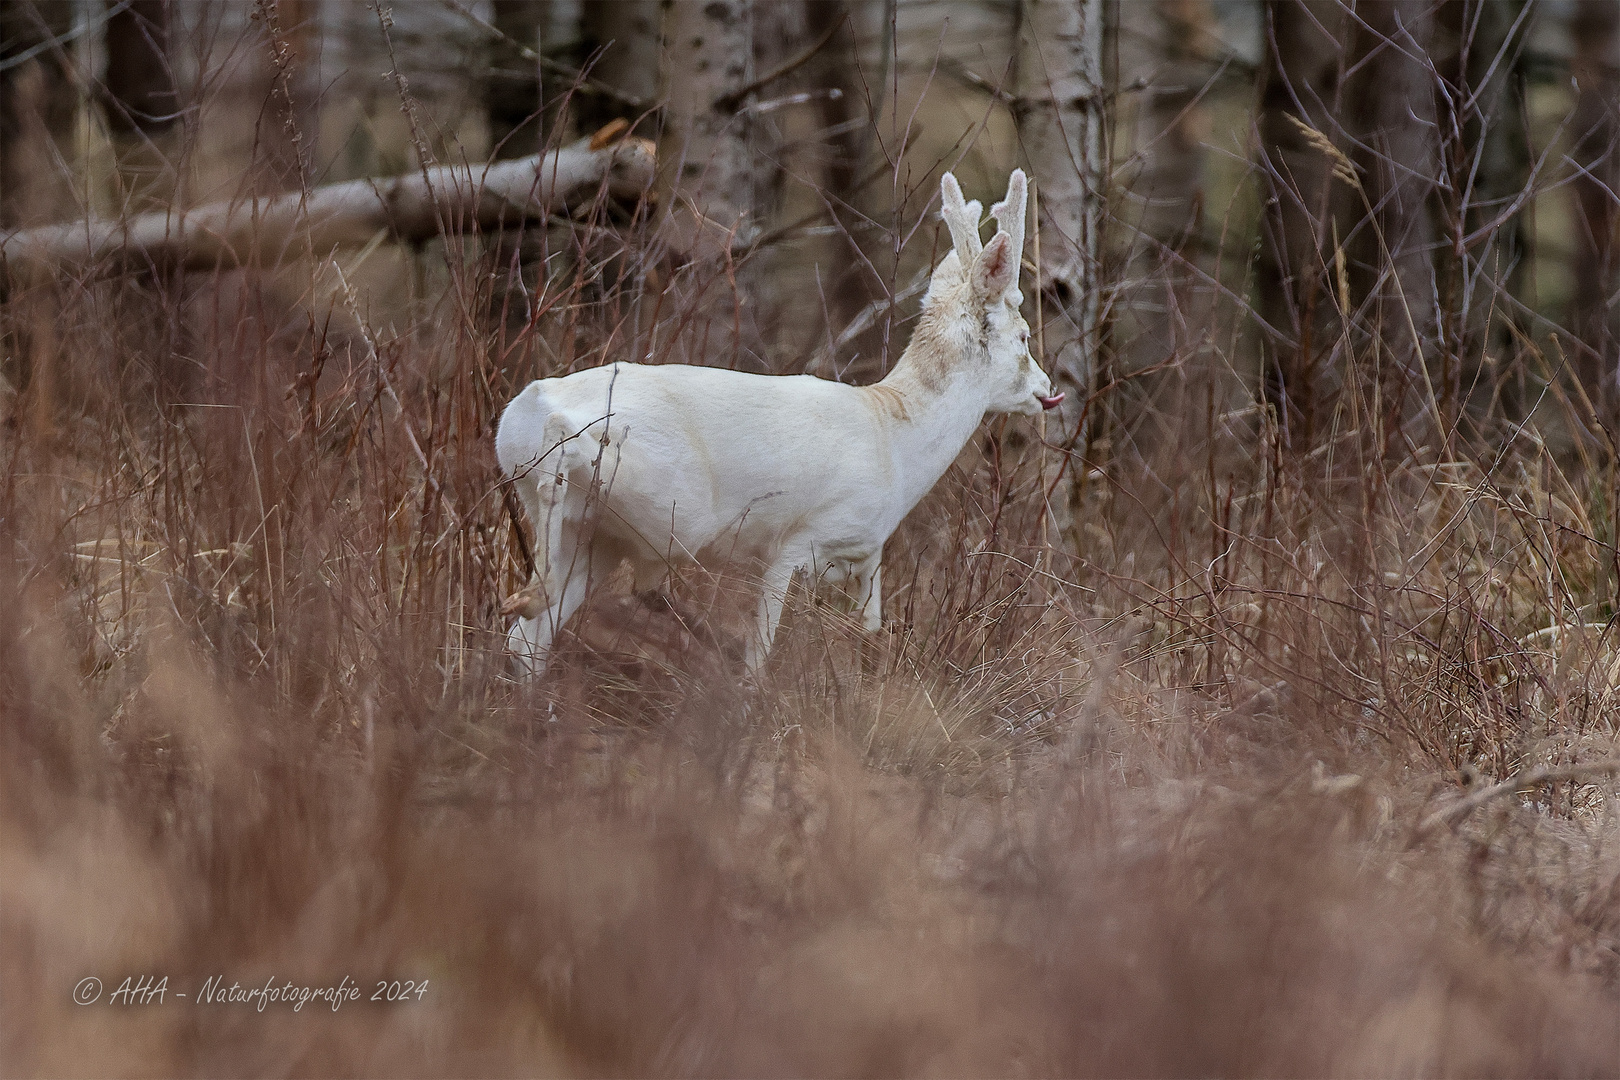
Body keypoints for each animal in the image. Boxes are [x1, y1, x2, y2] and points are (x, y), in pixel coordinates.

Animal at [492, 169, 1062, 676]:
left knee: (527, 641)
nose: (1046, 390)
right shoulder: (795, 542)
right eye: (1025, 335)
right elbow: (759, 655)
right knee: (564, 460)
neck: (894, 440)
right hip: (669, 500)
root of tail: (520, 416)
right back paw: (528, 591)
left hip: (594, 535)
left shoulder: (867, 556)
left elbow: (870, 640)